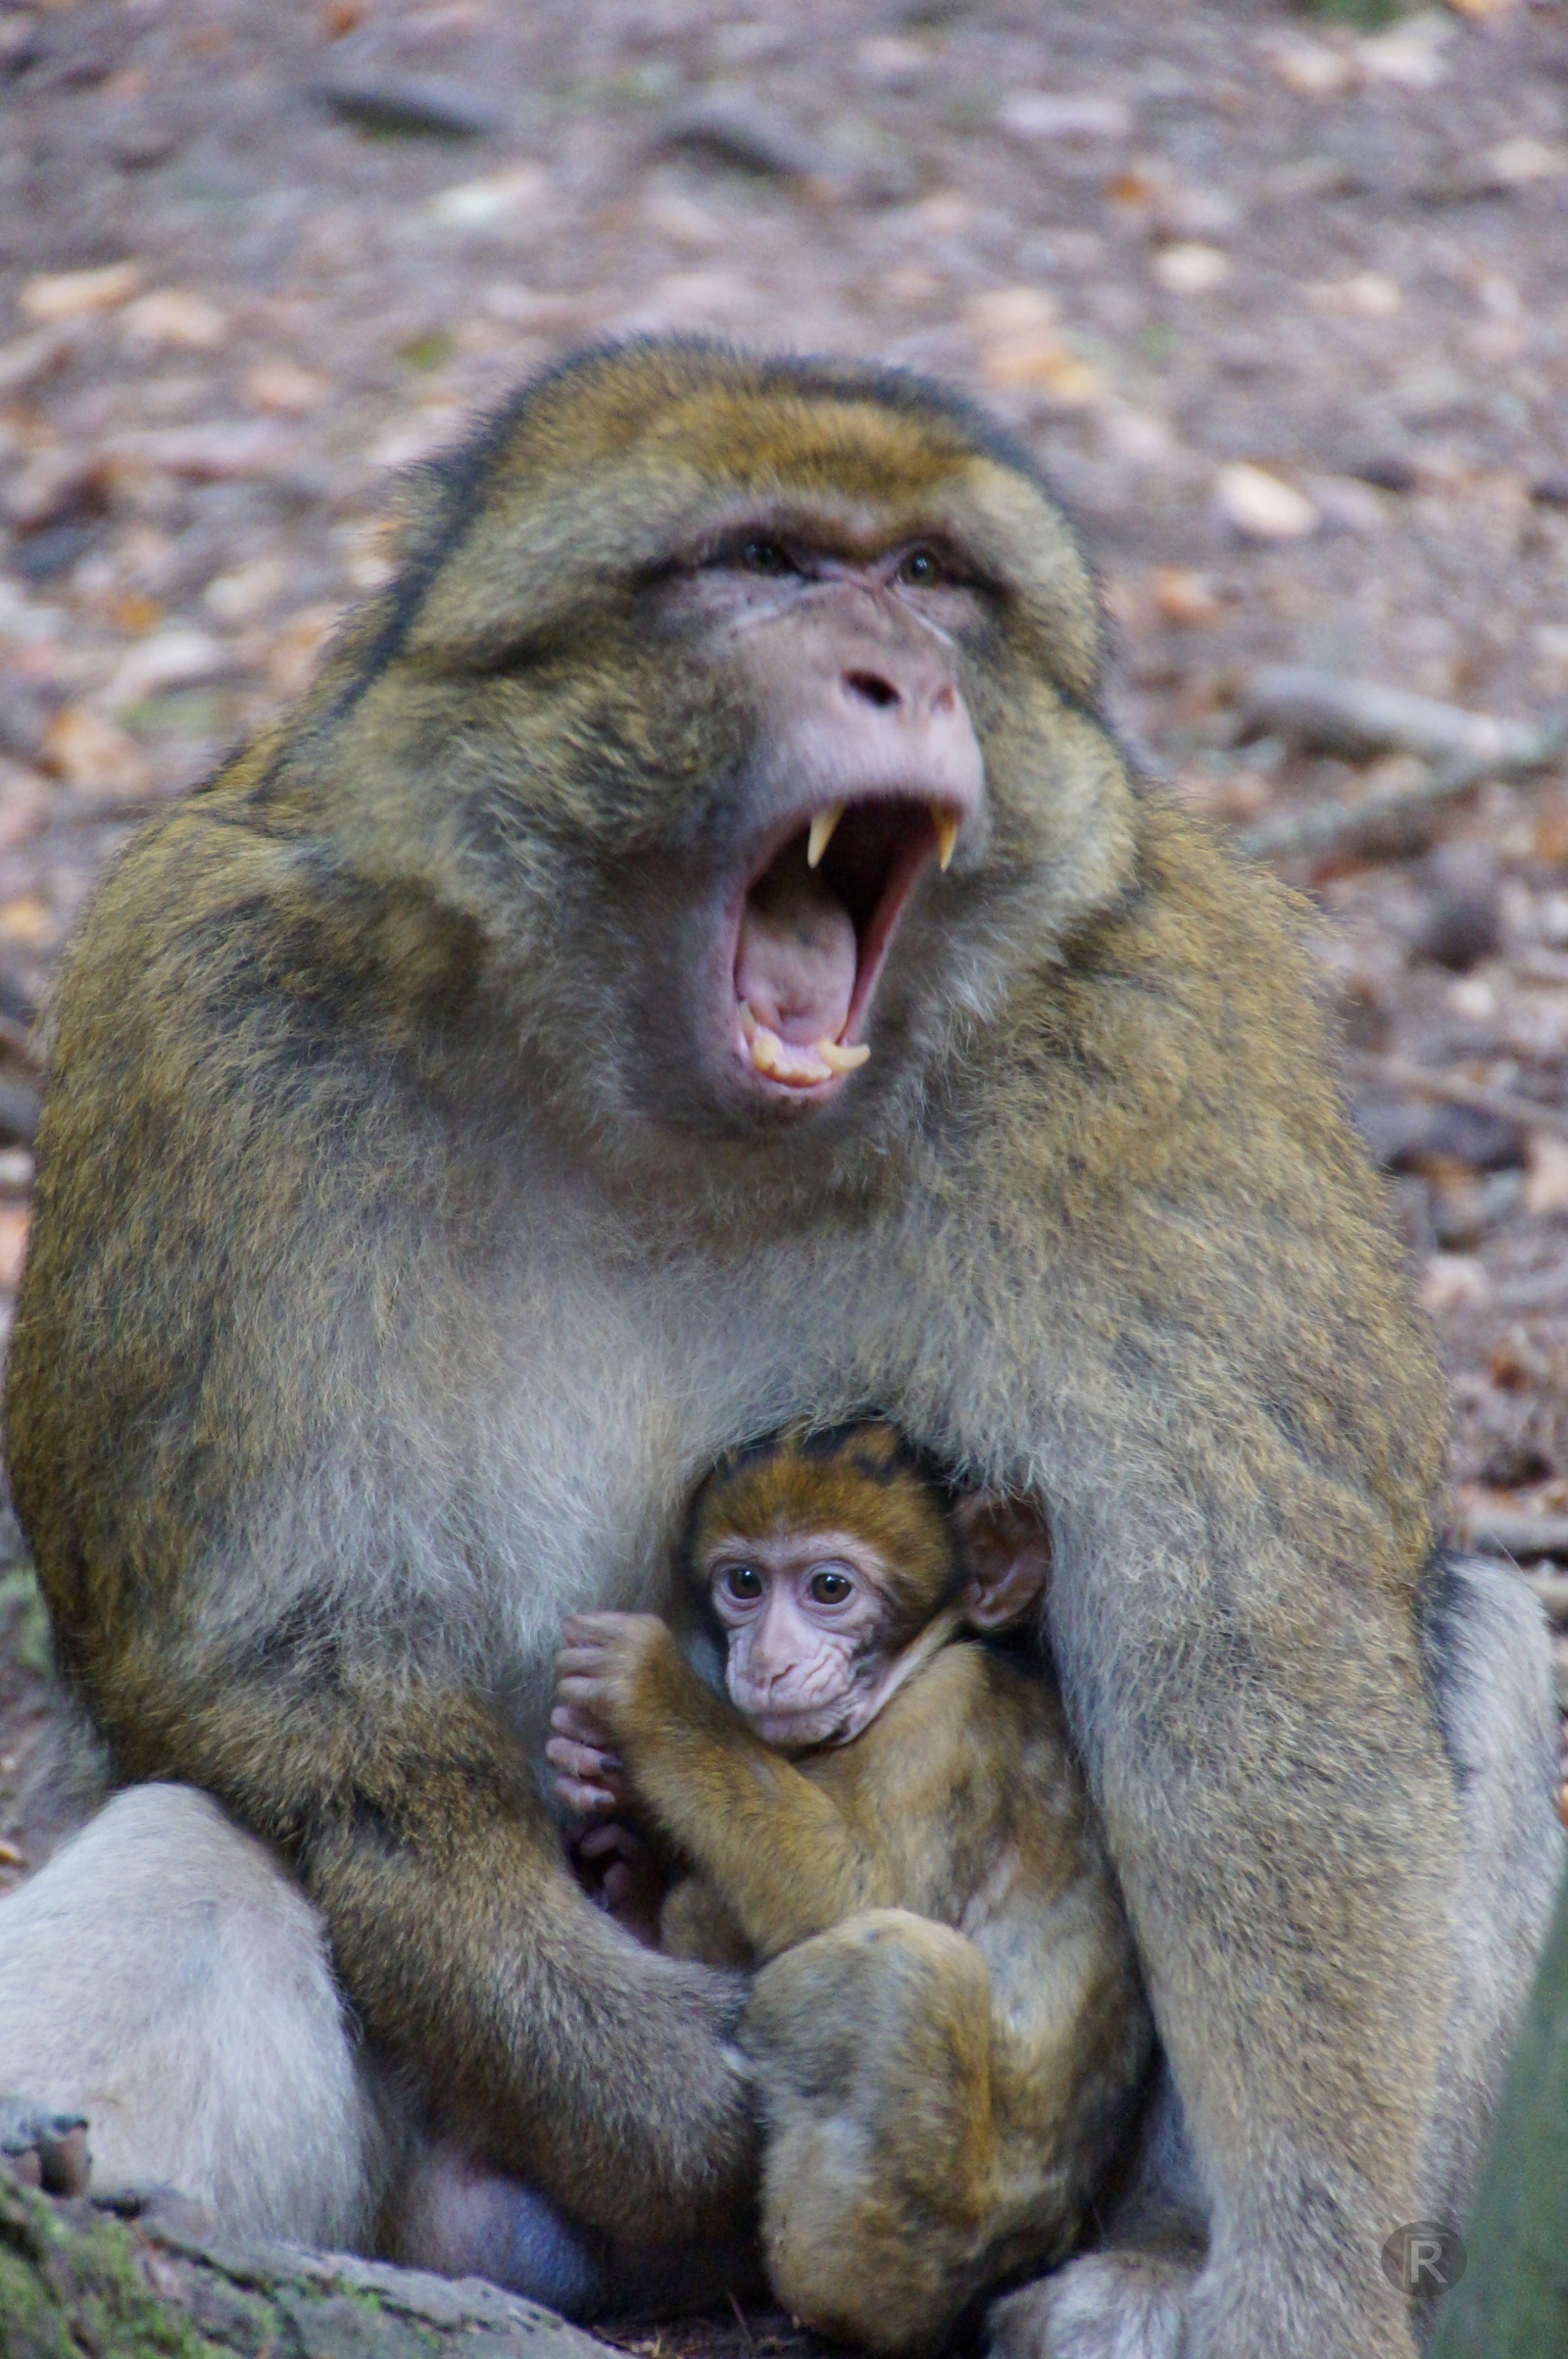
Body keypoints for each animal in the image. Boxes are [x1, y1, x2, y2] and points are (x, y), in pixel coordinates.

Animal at [545, 1421, 1153, 2354]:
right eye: (745, 1583)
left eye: (829, 1587)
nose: (766, 1658)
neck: (921, 1664)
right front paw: (607, 1802)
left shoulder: (947, 1721)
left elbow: (856, 1888)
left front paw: (648, 1689)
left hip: (925, 2231)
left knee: (898, 1964)